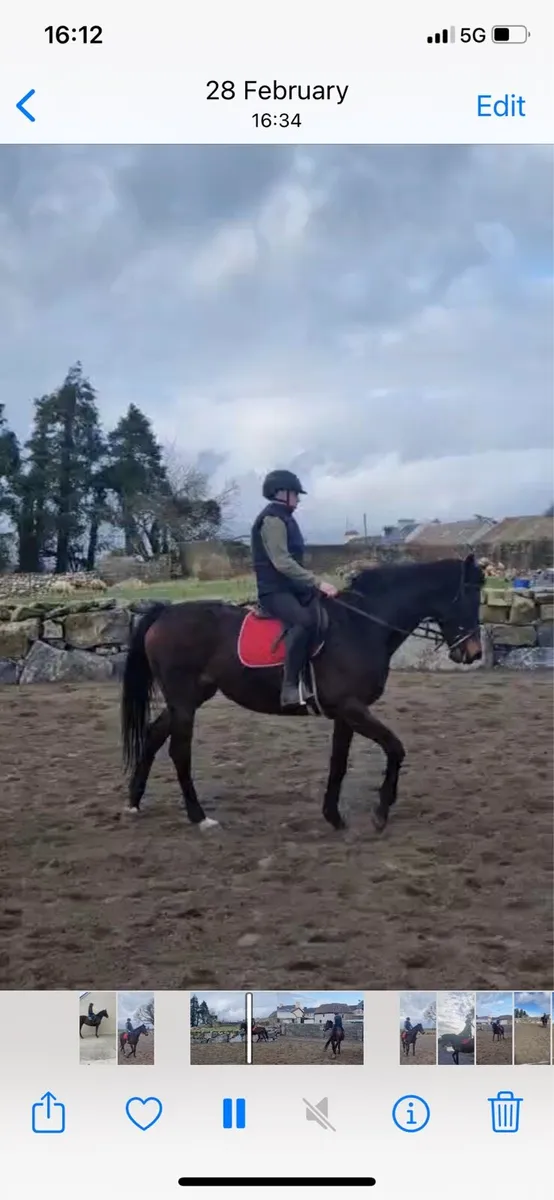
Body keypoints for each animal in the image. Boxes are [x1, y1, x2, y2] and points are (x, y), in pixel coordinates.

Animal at [121, 554, 483, 834]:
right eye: (468, 595)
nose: (474, 653)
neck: (360, 626)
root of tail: (164, 613)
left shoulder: (345, 713)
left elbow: (339, 763)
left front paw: (334, 817)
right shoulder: (352, 708)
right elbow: (395, 749)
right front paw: (380, 813)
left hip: (189, 698)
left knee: (153, 735)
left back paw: (134, 803)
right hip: (184, 702)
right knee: (179, 752)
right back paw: (199, 818)